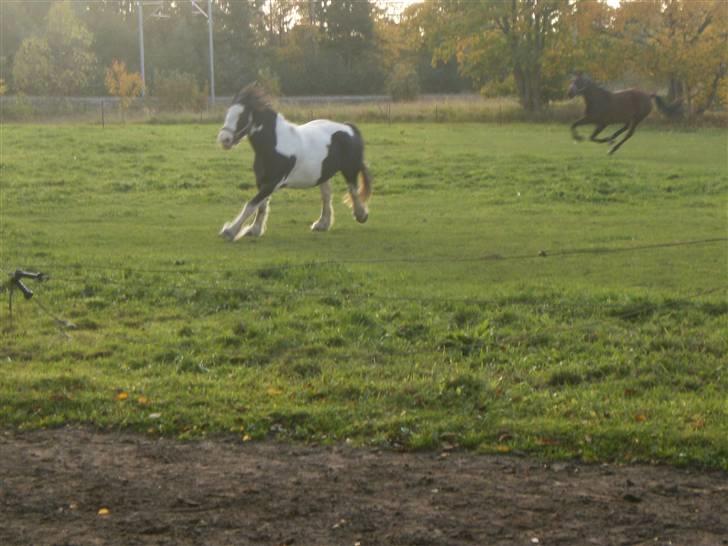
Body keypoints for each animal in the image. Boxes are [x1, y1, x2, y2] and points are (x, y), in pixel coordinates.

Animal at [216, 85, 372, 238]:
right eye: (228, 113)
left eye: (241, 116)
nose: (224, 139)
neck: (275, 145)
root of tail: (349, 127)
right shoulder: (263, 182)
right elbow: (261, 205)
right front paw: (254, 230)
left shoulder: (273, 183)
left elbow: (251, 205)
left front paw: (230, 231)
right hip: (323, 174)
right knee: (327, 196)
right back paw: (322, 224)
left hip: (350, 170)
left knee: (353, 190)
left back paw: (361, 215)